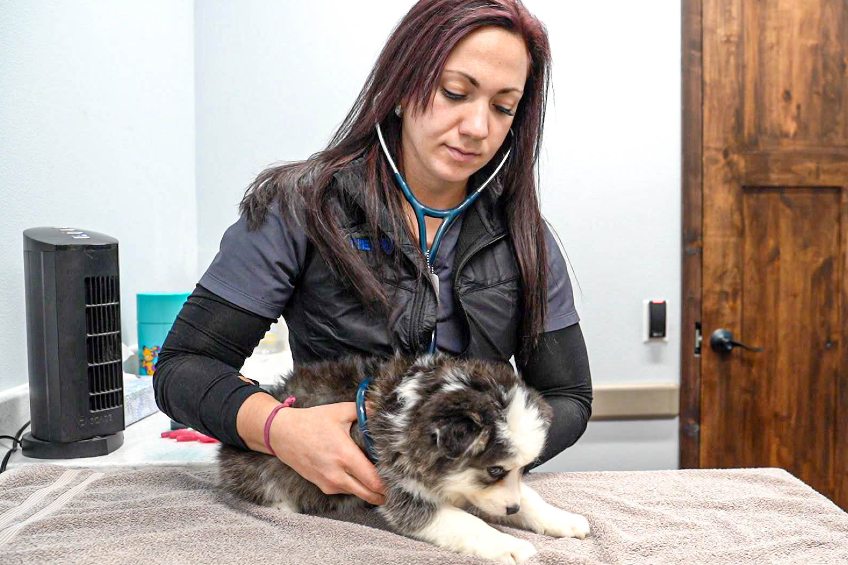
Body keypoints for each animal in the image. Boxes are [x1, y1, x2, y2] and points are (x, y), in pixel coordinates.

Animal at [219, 350, 588, 560]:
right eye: (494, 470)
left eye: (522, 468)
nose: (511, 509)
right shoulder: (401, 488)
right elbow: (465, 523)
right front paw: (508, 546)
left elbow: (531, 499)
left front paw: (562, 519)